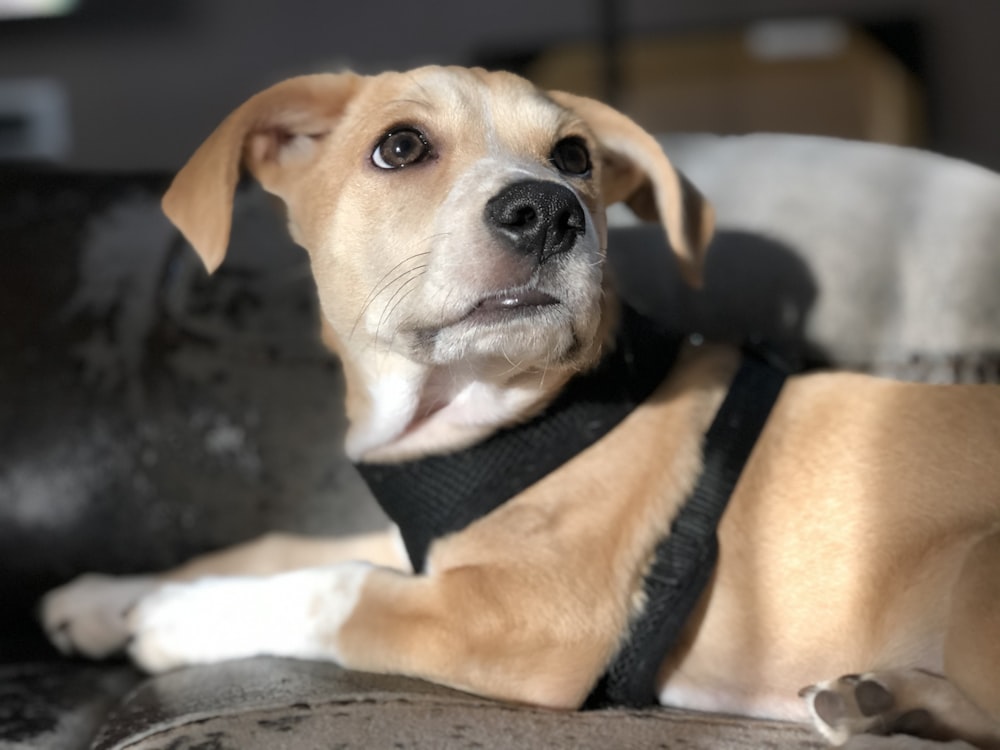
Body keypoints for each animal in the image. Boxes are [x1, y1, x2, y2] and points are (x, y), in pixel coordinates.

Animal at [43, 67, 1000, 748]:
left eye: (574, 156)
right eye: (399, 147)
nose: (546, 211)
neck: (477, 414)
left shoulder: (525, 619)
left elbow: (344, 586)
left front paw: (181, 616)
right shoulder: (437, 540)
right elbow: (292, 545)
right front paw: (106, 596)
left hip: (978, 572)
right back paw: (880, 699)